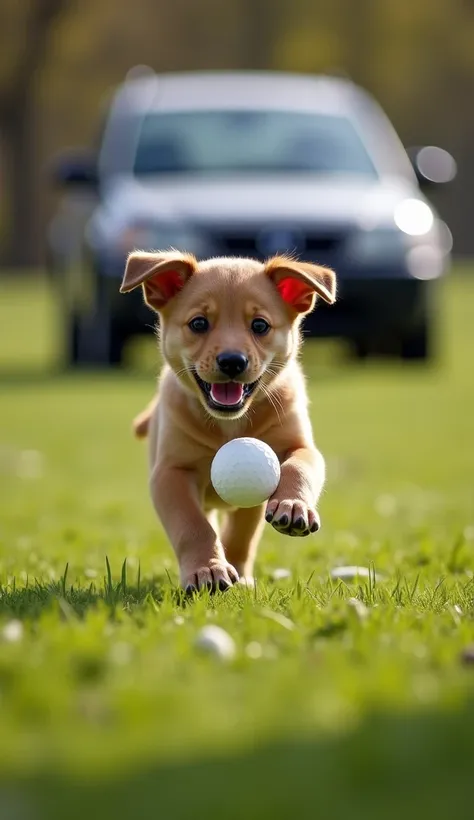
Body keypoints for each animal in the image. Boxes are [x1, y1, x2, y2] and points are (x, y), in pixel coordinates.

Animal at [120, 253, 336, 592]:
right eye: (198, 323)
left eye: (260, 325)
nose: (233, 361)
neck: (229, 425)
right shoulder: (171, 473)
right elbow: (193, 526)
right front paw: (207, 570)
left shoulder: (298, 445)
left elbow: (298, 468)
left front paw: (293, 505)